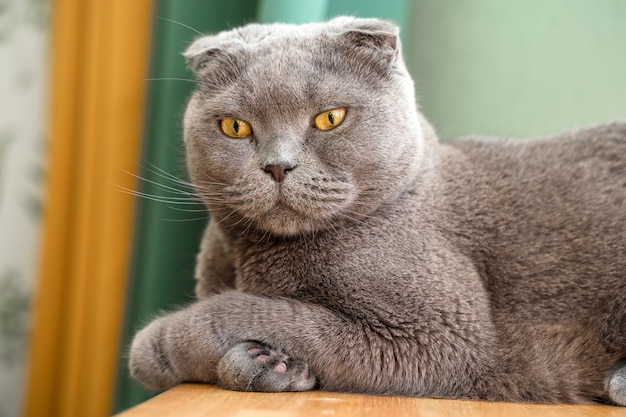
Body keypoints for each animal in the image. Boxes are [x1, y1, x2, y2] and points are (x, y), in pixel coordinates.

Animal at [128, 16, 624, 404]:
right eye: (235, 127)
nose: (278, 165)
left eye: (330, 118)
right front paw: (268, 364)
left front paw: (155, 346)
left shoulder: (439, 339)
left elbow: (253, 310)